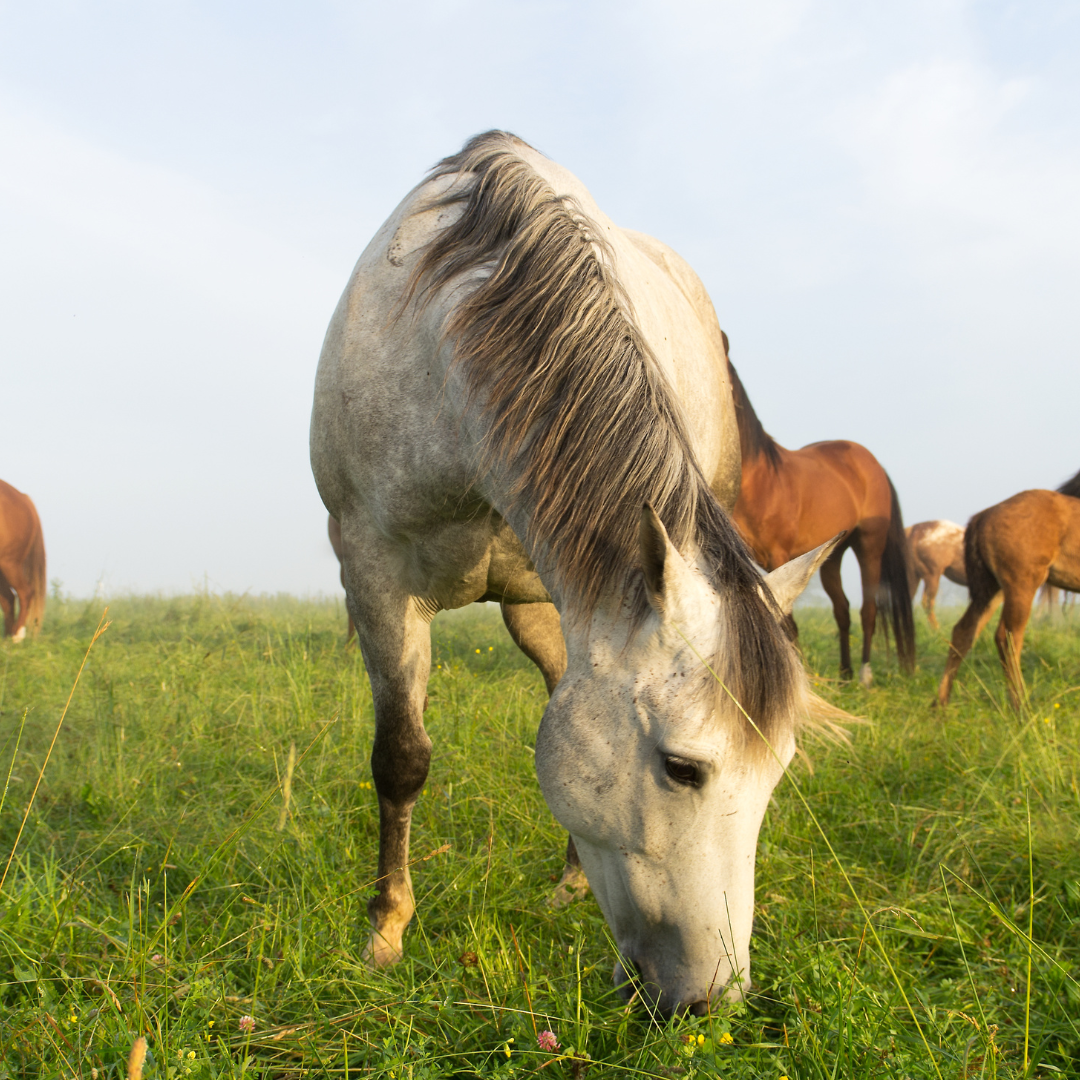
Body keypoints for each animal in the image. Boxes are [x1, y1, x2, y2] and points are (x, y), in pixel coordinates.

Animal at [310, 131, 844, 1015]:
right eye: (681, 768)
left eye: (779, 771)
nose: (710, 1002)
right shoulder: (376, 573)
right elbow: (401, 756)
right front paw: (385, 932)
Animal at [725, 347, 915, 687]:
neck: (759, 481)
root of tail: (871, 461)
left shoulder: (779, 555)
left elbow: (786, 622)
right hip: (831, 556)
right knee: (842, 609)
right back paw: (845, 674)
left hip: (869, 547)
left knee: (868, 610)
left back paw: (864, 675)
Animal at [937, 469, 1080, 709]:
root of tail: (982, 517)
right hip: (1021, 587)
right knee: (1007, 637)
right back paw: (1021, 707)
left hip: (992, 590)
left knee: (964, 632)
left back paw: (940, 704)